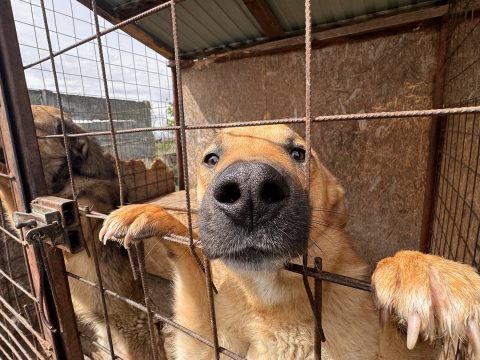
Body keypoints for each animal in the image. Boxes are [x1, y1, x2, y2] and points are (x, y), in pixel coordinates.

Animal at [98, 125, 480, 358]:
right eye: (211, 158)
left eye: (299, 153)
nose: (249, 191)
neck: (273, 299)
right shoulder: (207, 342)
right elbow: (191, 257)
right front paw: (155, 215)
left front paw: (423, 271)